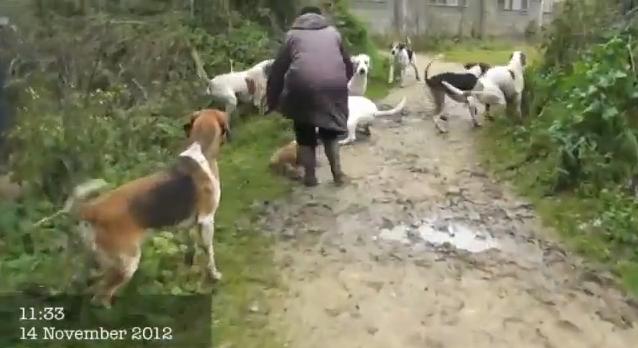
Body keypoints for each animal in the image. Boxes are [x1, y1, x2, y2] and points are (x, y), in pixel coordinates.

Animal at [55, 109, 230, 308]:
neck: (200, 149)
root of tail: (92, 209)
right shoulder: (207, 220)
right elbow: (209, 253)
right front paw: (214, 275)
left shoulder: (188, 223)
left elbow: (190, 247)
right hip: (127, 263)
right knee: (101, 295)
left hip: (92, 260)